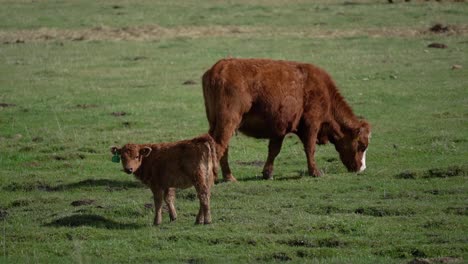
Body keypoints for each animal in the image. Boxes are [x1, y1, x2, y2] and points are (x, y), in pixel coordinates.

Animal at [203, 57, 372, 182]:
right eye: (362, 145)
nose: (361, 169)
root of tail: (218, 68)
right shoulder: (312, 124)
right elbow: (310, 148)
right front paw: (315, 172)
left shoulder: (279, 129)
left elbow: (274, 150)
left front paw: (267, 173)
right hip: (228, 122)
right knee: (219, 146)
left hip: (216, 124)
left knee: (221, 146)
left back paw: (227, 177)